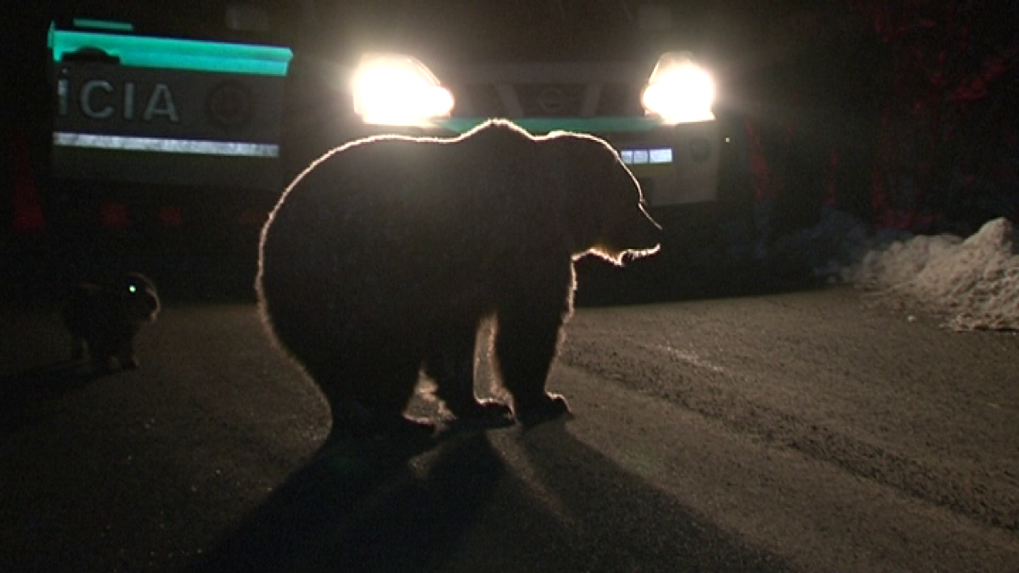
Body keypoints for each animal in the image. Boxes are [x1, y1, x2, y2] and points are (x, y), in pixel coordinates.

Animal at [256, 119, 660, 436]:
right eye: (636, 199)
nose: (656, 231)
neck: (561, 206)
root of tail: (267, 241)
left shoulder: (458, 283)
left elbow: (454, 342)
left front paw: (480, 404)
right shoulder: (527, 246)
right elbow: (529, 325)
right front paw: (543, 399)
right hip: (354, 283)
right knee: (388, 352)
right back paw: (400, 421)